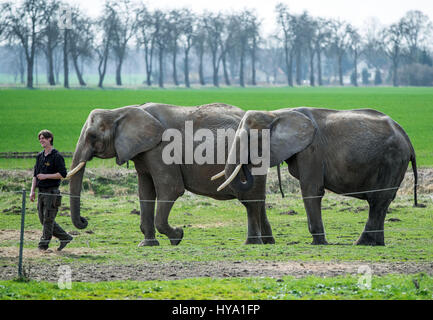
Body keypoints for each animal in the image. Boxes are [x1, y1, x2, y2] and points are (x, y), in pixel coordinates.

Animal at [67, 102, 274, 245]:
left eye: (92, 136)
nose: (84, 221)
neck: (122, 111)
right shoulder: (144, 153)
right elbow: (145, 193)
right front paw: (147, 245)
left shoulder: (161, 149)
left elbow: (170, 189)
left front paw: (178, 236)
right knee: (258, 199)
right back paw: (267, 242)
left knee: (250, 201)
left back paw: (252, 243)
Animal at [214, 106, 416, 246]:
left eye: (250, 138)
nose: (248, 165)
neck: (276, 114)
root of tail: (407, 138)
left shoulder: (311, 151)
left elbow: (311, 190)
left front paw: (318, 243)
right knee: (382, 202)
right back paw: (375, 243)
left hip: (393, 159)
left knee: (377, 200)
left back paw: (362, 243)